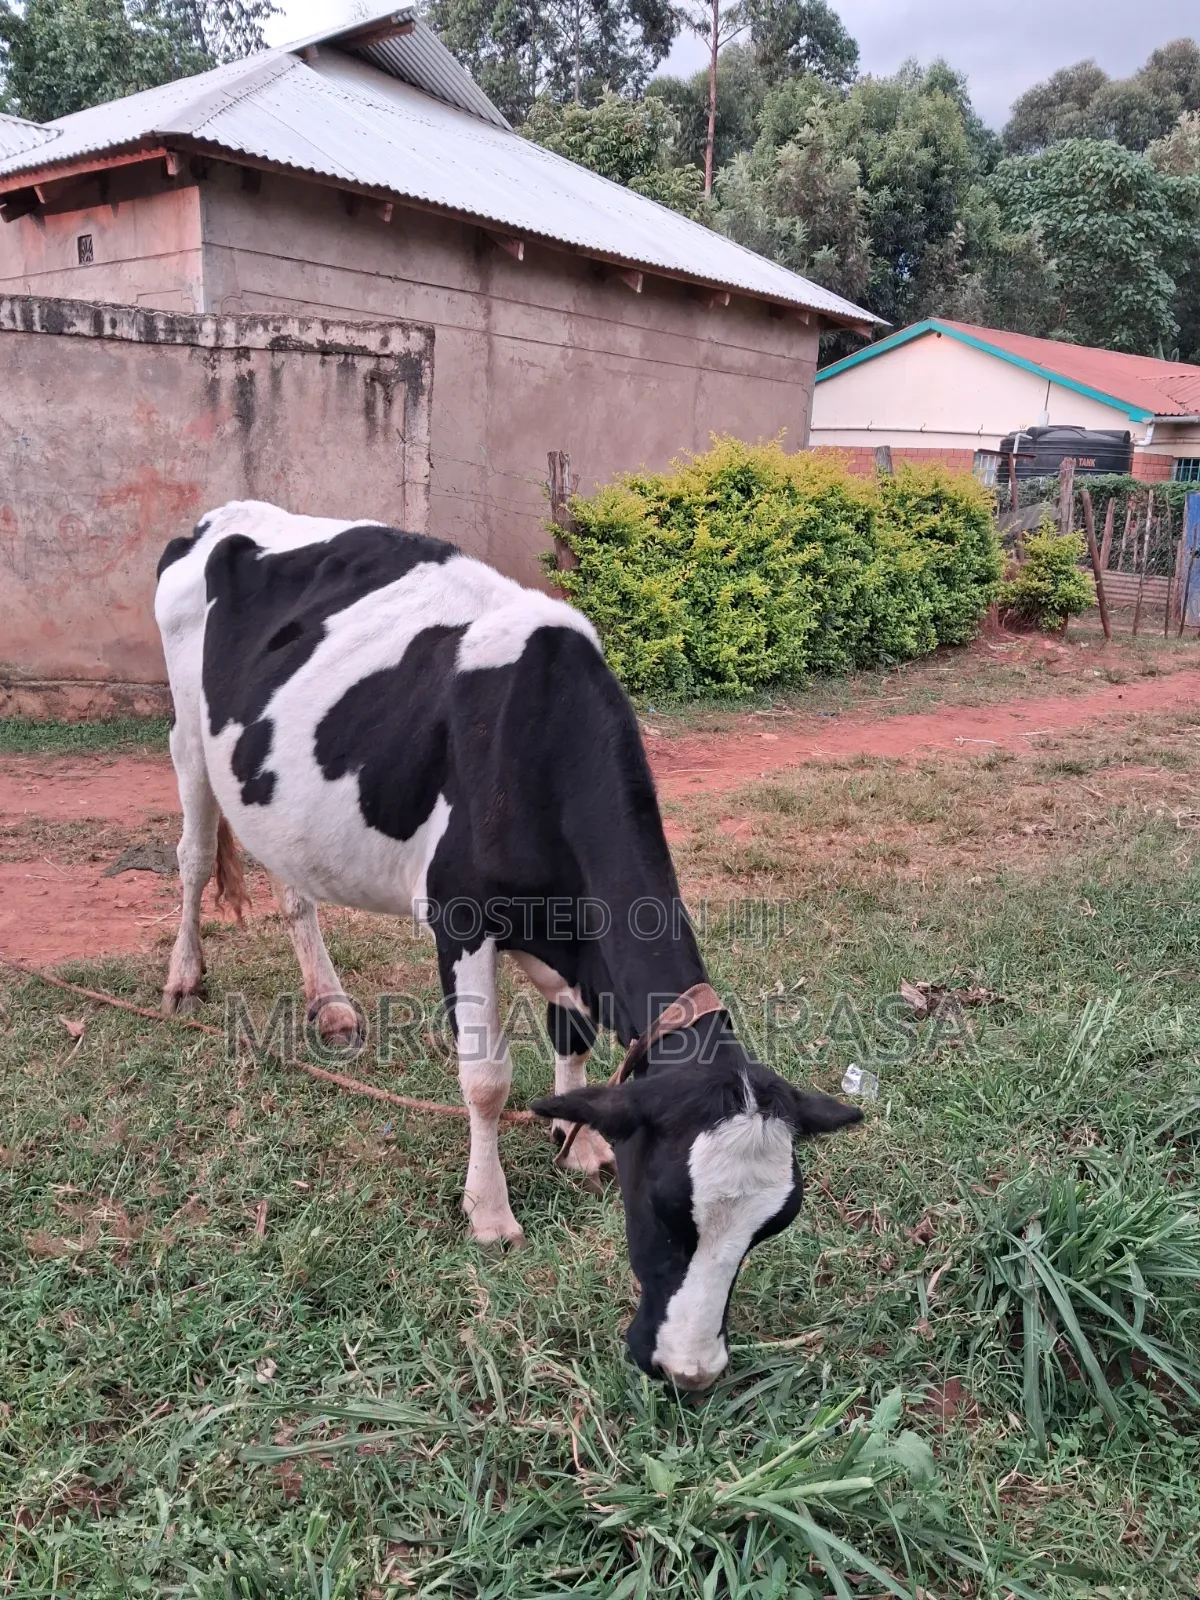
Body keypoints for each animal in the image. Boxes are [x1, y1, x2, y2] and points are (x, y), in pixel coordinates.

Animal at [155, 502, 861, 1391]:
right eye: (664, 1208)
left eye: (770, 1227)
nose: (691, 1372)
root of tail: (226, 515)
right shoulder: (459, 917)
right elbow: (486, 1082)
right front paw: (490, 1214)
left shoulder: (566, 933)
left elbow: (575, 1033)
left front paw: (581, 1142)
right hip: (187, 733)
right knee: (189, 855)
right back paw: (184, 977)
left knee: (293, 883)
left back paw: (331, 1003)